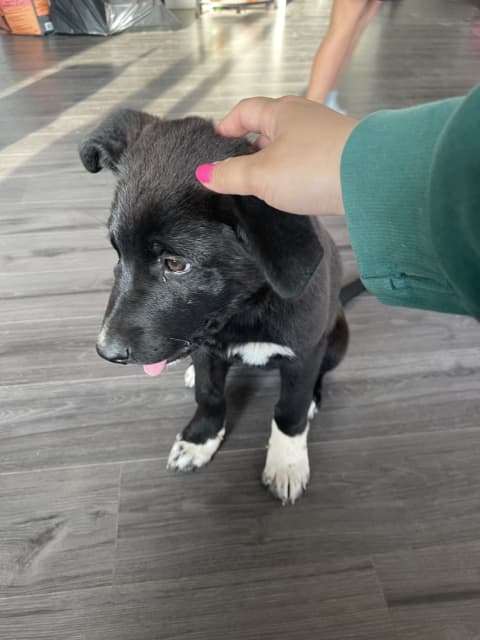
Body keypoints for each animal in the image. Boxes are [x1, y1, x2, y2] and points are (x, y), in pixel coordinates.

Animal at [79, 108, 360, 504]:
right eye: (117, 252)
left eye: (175, 264)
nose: (106, 352)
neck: (245, 312)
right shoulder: (206, 347)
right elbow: (209, 393)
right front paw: (200, 439)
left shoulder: (304, 352)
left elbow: (289, 411)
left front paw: (287, 461)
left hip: (336, 340)